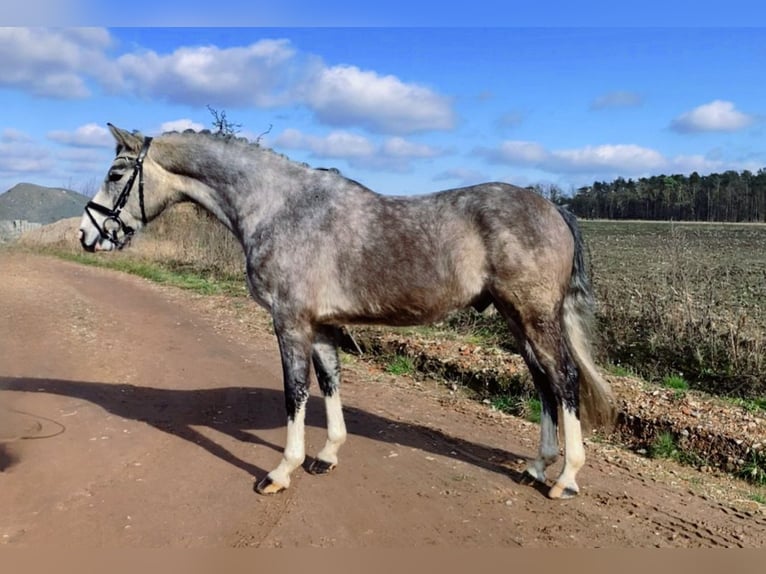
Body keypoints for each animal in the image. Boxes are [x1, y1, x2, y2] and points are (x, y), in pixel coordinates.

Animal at [79, 125, 616, 500]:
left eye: (115, 174)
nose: (87, 236)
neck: (279, 207)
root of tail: (553, 208)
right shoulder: (321, 325)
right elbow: (330, 382)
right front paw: (327, 455)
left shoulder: (290, 322)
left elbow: (295, 392)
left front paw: (281, 471)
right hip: (516, 319)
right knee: (544, 384)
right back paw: (536, 466)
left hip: (534, 317)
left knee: (565, 380)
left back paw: (565, 479)